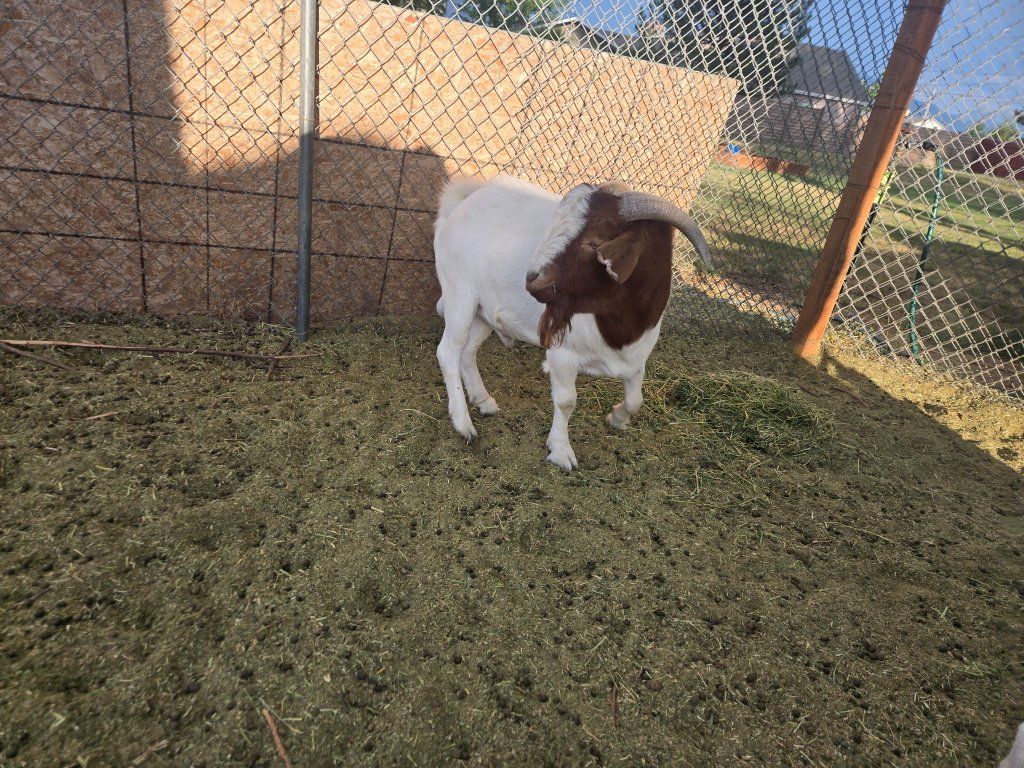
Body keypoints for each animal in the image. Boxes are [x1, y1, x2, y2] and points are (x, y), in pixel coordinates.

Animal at [433, 174, 712, 469]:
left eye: (594, 242)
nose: (532, 279)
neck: (619, 329)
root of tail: (459, 204)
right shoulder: (563, 355)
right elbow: (567, 401)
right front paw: (561, 450)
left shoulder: (636, 360)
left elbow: (636, 400)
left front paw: (616, 419)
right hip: (460, 297)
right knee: (448, 352)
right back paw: (463, 424)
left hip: (483, 312)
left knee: (468, 351)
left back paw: (483, 401)